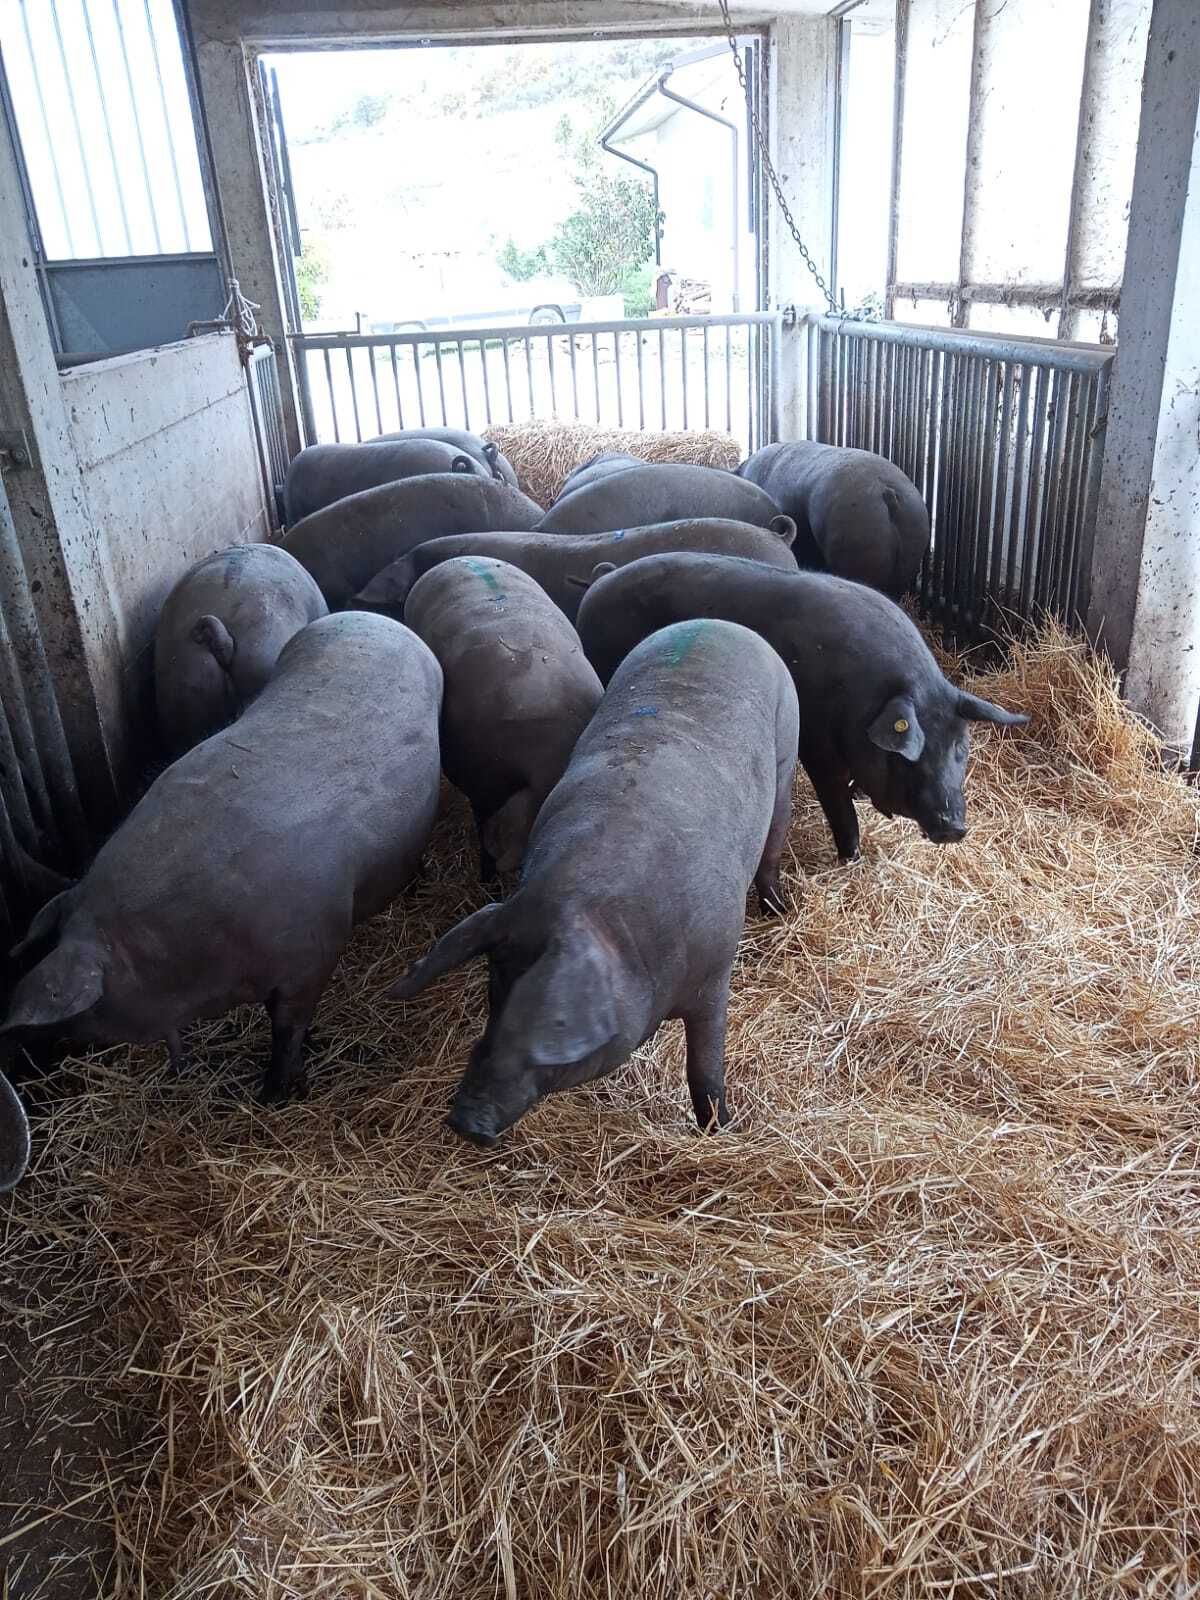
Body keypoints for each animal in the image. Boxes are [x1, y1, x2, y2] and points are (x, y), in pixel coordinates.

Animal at [385, 618, 799, 1145]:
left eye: (550, 1027)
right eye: (496, 983)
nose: (465, 1121)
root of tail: (720, 623)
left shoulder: (715, 970)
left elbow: (704, 1069)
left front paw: (720, 1130)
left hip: (786, 755)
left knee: (773, 841)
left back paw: (778, 907)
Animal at [575, 552, 1027, 862]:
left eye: (960, 748)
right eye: (913, 753)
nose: (954, 826)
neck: (862, 698)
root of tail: (601, 580)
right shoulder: (817, 745)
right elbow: (840, 810)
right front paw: (851, 858)